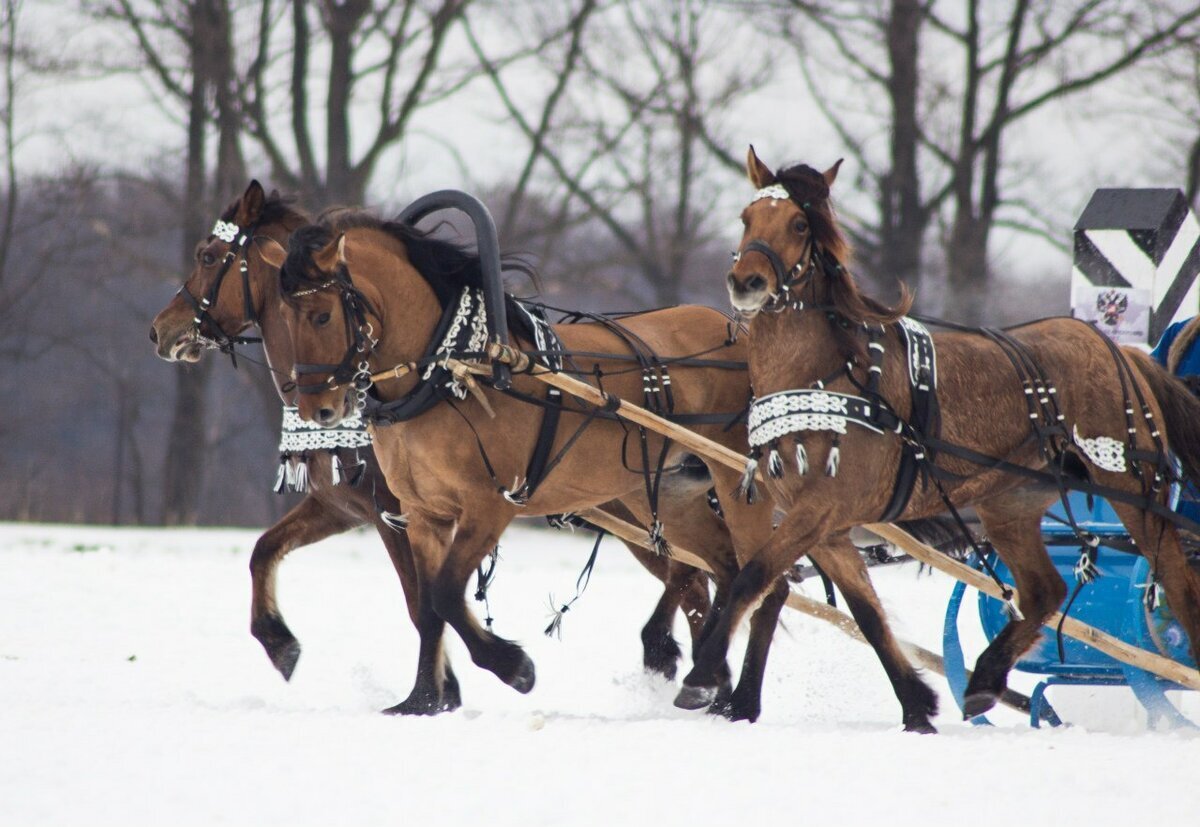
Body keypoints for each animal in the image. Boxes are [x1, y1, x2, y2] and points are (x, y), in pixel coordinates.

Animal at [145, 183, 715, 705]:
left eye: (208, 256)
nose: (160, 331)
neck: (433, 369)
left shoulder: (398, 513)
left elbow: (425, 602)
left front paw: (449, 687)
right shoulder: (349, 508)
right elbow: (266, 550)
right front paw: (282, 643)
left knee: (696, 577)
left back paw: (682, 663)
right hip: (639, 505)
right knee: (695, 579)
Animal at [276, 207, 940, 729]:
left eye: (321, 316)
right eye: (282, 315)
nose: (317, 409)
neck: (452, 368)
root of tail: (746, 337)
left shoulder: (489, 505)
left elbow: (441, 594)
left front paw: (513, 667)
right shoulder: (421, 514)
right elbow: (431, 607)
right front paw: (422, 701)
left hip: (739, 484)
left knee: (765, 583)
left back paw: (738, 698)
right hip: (674, 498)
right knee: (729, 577)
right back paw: (718, 682)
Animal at [696, 147, 1200, 715]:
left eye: (800, 223)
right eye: (746, 218)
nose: (747, 282)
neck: (828, 369)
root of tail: (1120, 351)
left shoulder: (821, 510)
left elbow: (752, 578)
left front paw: (705, 672)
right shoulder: (828, 526)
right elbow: (865, 614)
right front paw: (917, 704)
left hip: (1133, 487)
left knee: (1180, 585)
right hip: (1010, 501)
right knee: (1043, 590)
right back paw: (985, 677)